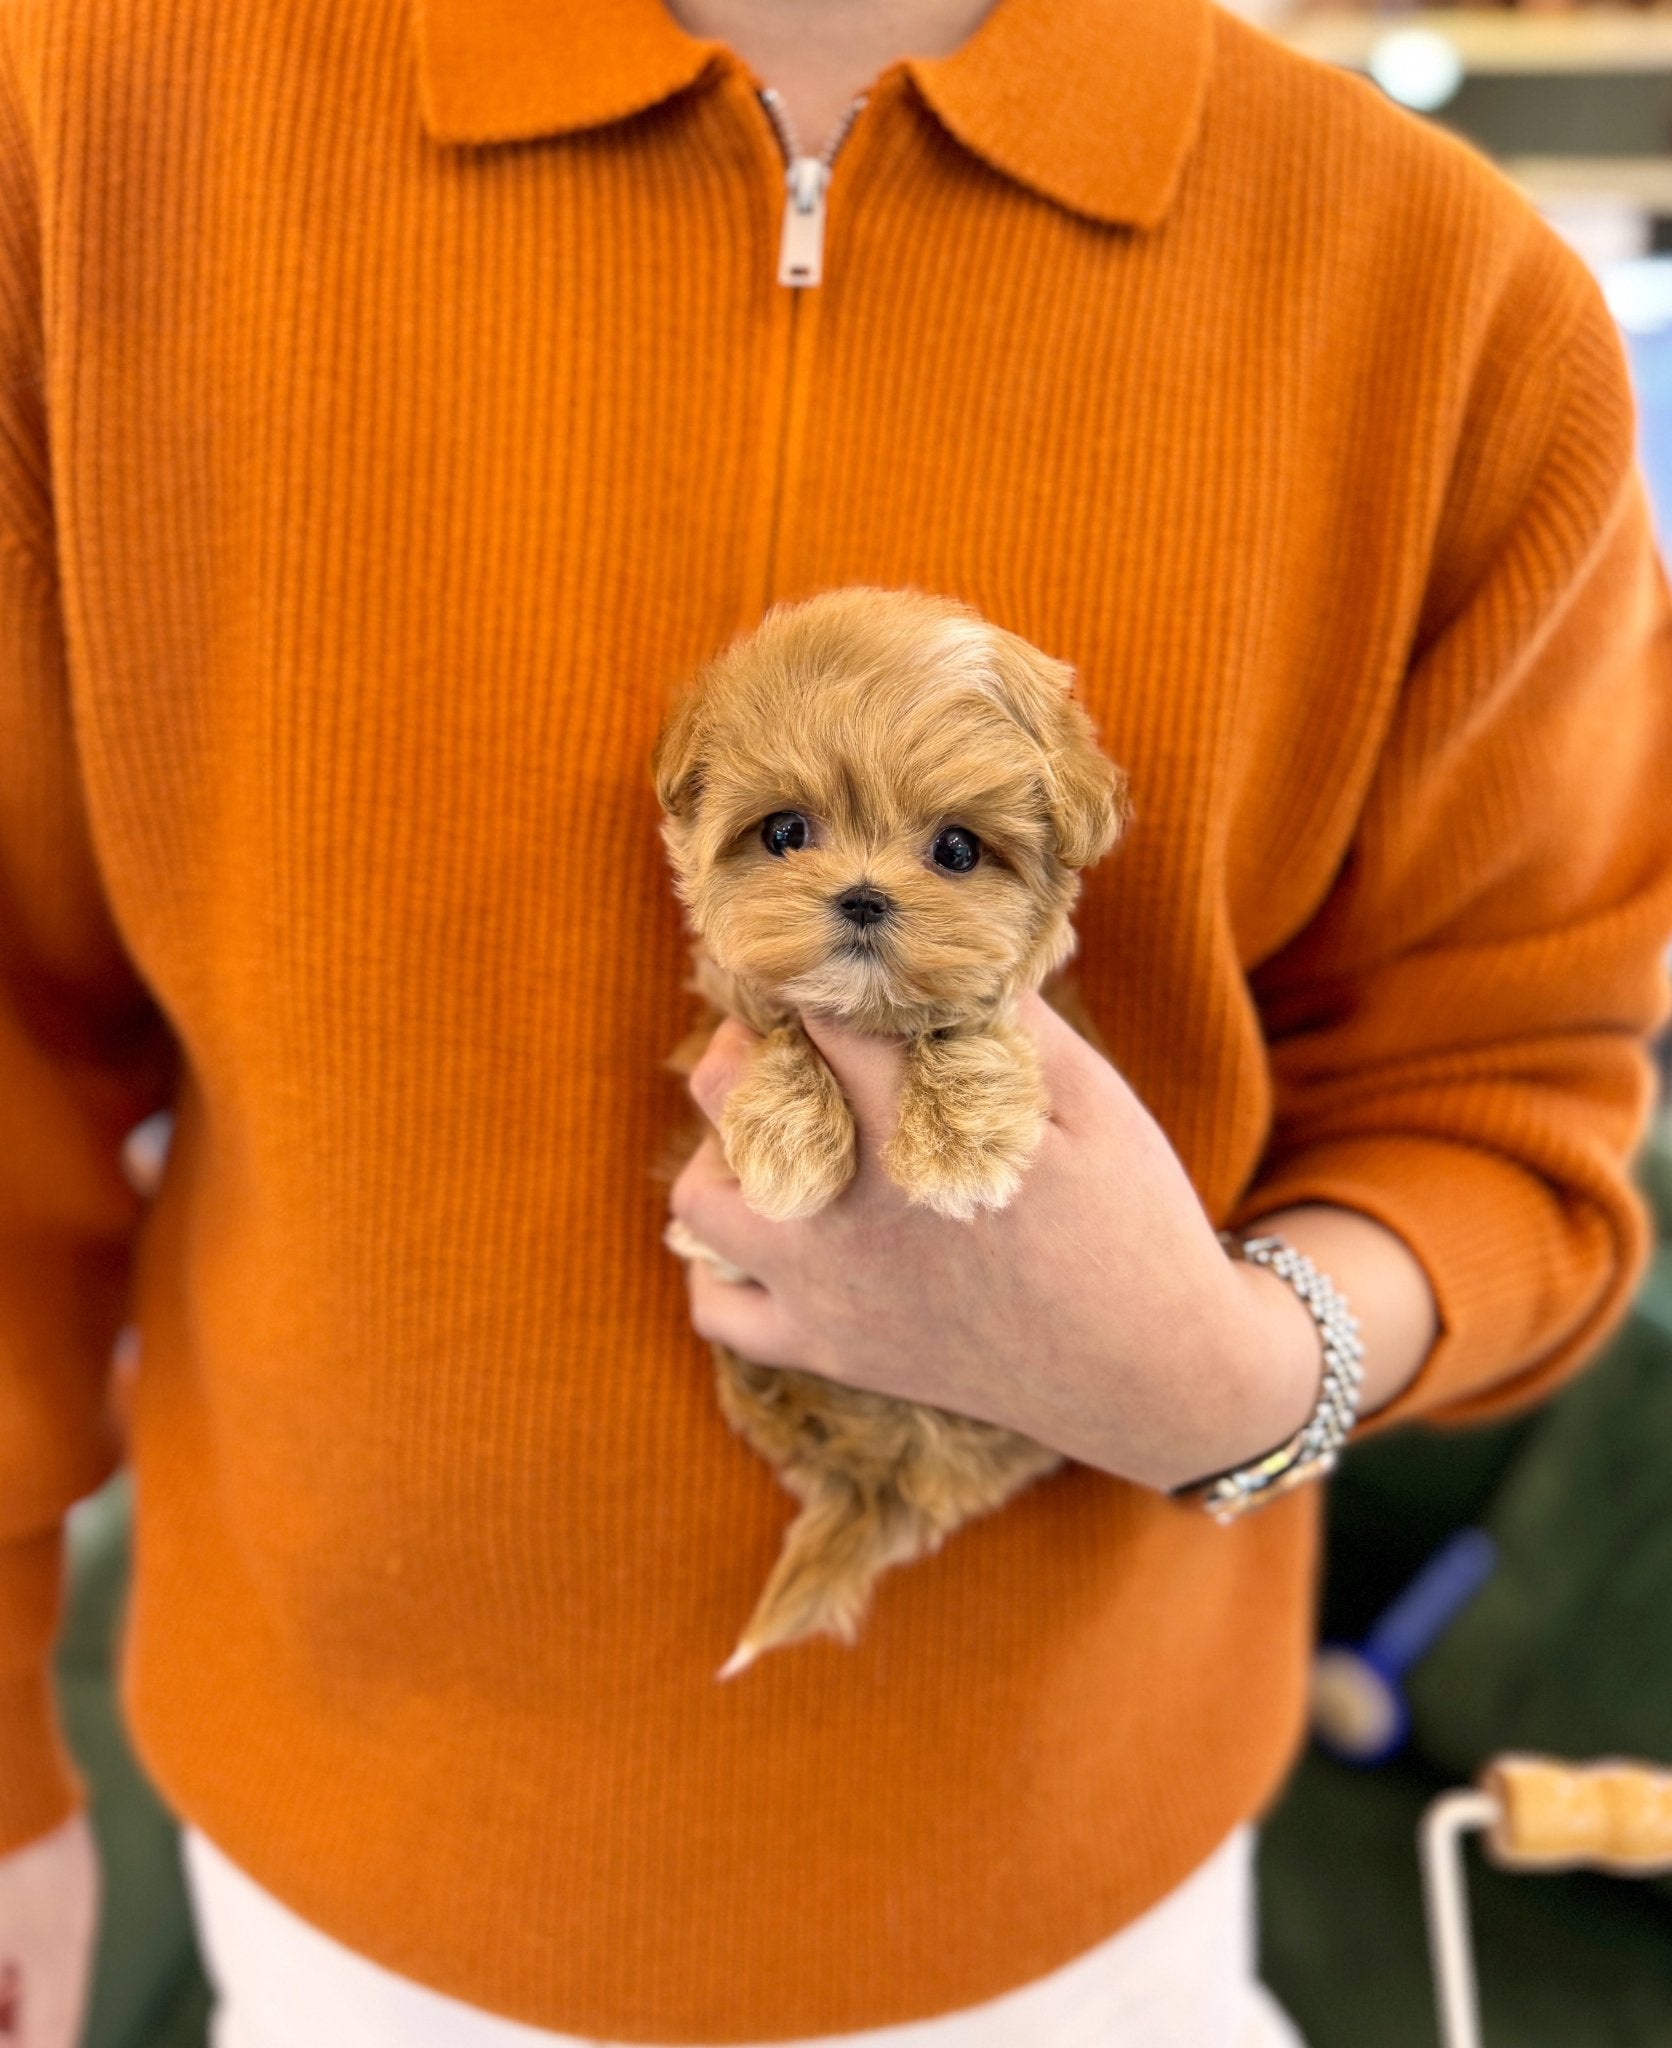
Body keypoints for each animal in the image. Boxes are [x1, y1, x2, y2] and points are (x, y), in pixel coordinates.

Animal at [651, 585, 1122, 1671]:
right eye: (785, 832)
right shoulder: (729, 1013)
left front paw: (960, 1144)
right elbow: (778, 1020)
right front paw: (786, 1138)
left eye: (956, 849)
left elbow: (967, 1019)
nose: (863, 895)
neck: (867, 1020)